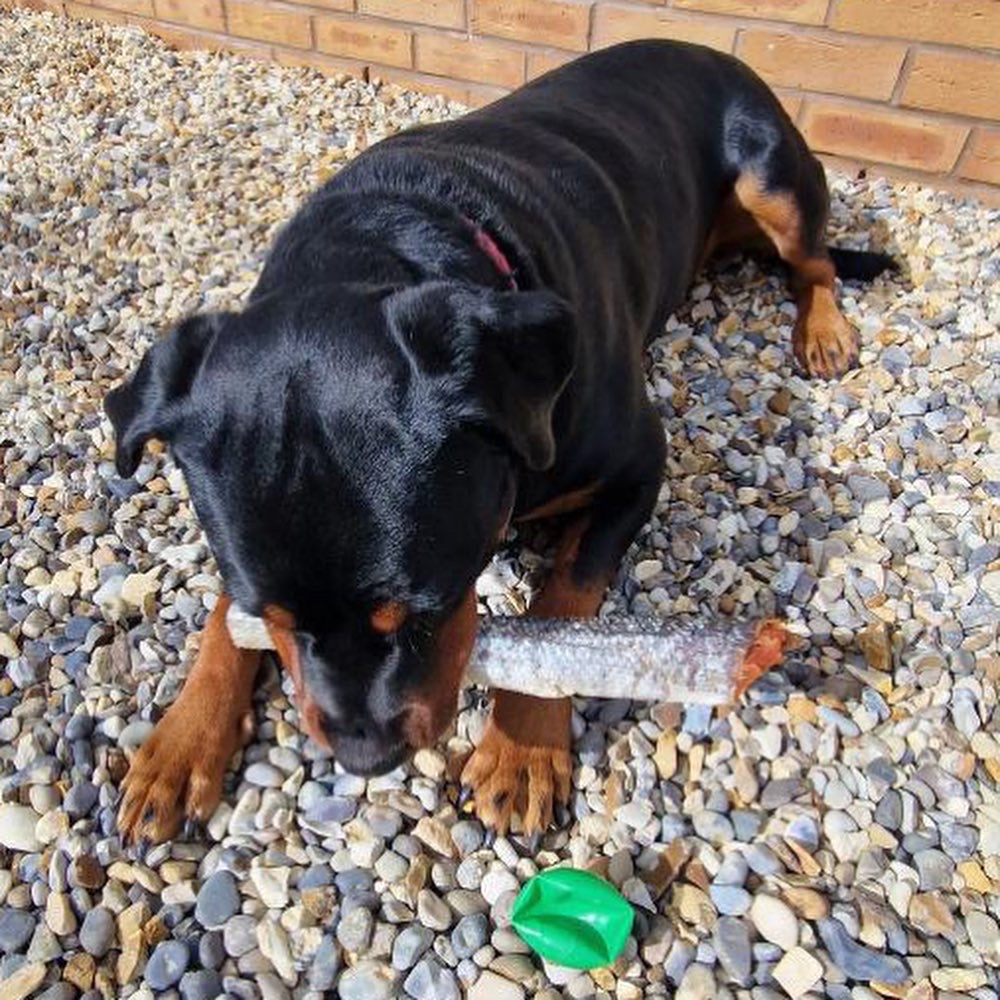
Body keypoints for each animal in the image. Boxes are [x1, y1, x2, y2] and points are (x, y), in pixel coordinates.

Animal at [107, 39, 892, 840]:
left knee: (816, 262)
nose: (366, 758)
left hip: (772, 175)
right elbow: (221, 619)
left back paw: (824, 331)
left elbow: (561, 599)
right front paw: (180, 743)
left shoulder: (638, 468)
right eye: (272, 616)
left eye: (426, 609)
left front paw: (520, 753)